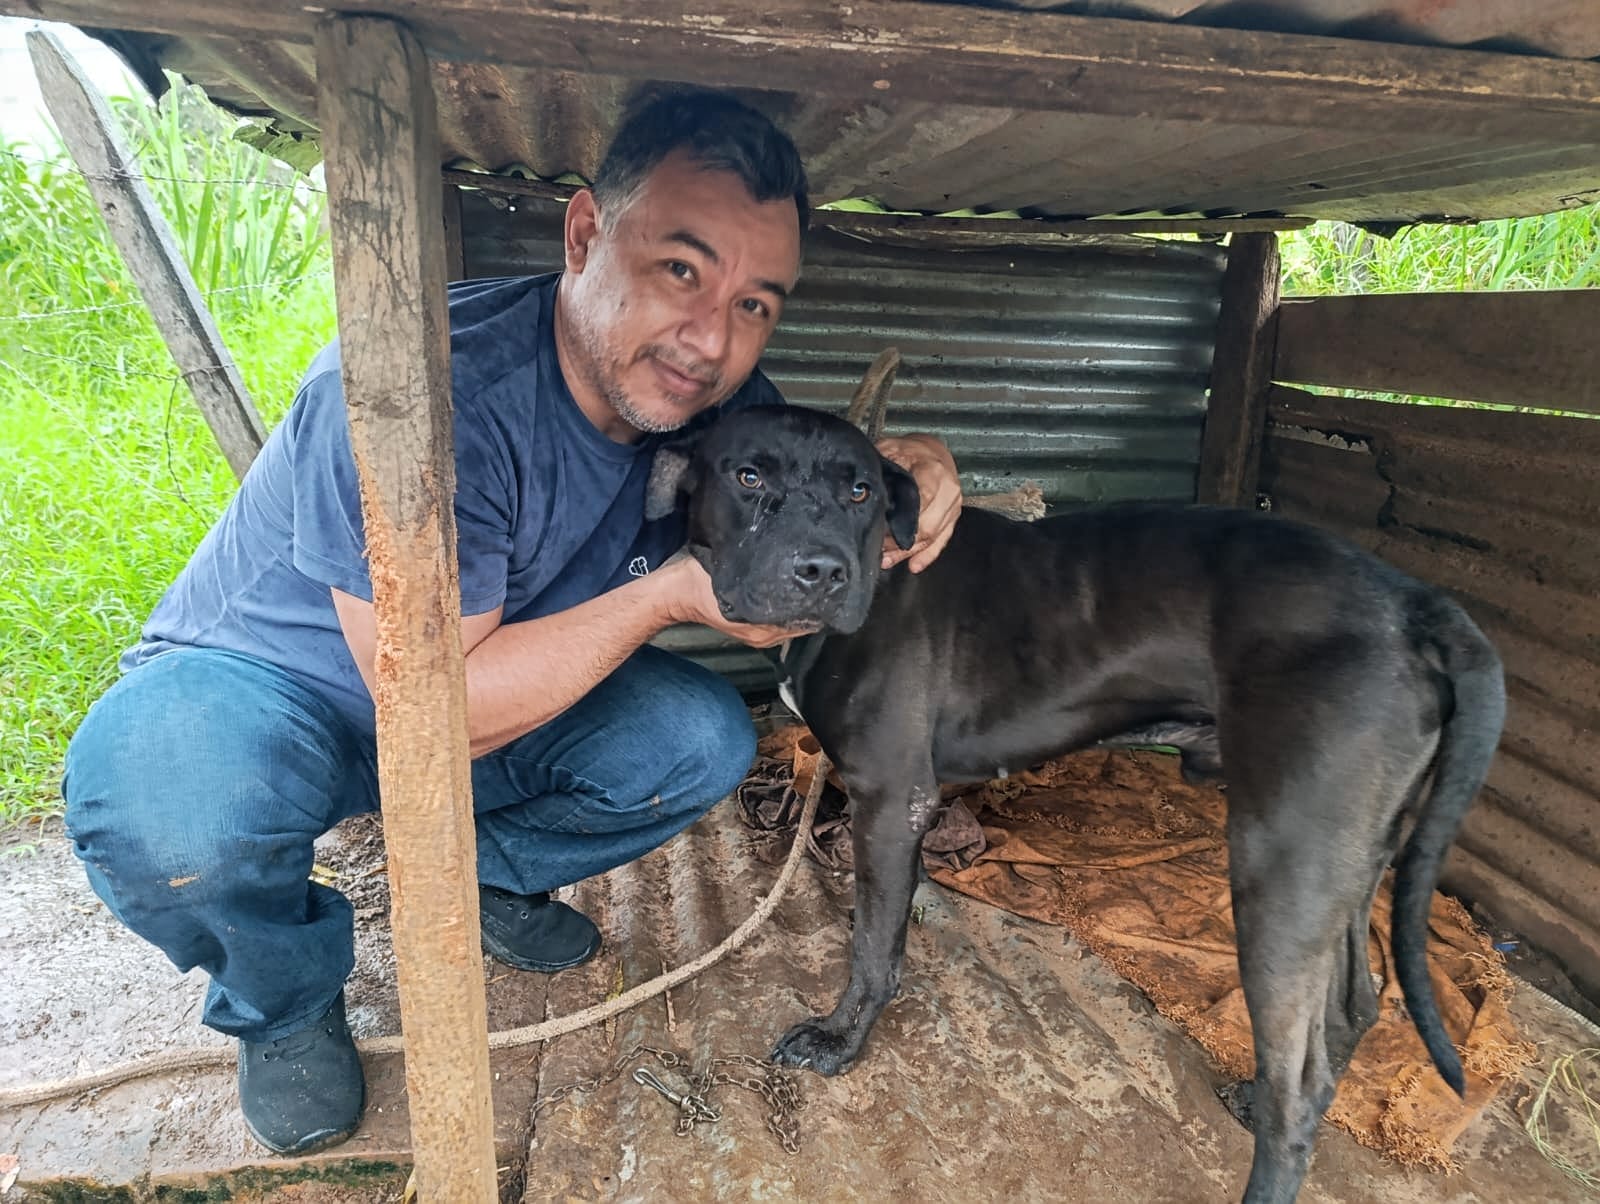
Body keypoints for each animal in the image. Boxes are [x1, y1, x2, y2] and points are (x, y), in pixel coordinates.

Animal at [643, 406, 1504, 1204]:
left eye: (860, 491)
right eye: (748, 476)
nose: (821, 572)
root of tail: (1416, 601)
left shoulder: (890, 799)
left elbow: (873, 949)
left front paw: (838, 1041)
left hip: (1282, 865)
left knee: (1302, 1085)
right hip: (1346, 860)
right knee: (1351, 1009)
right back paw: (1263, 1093)